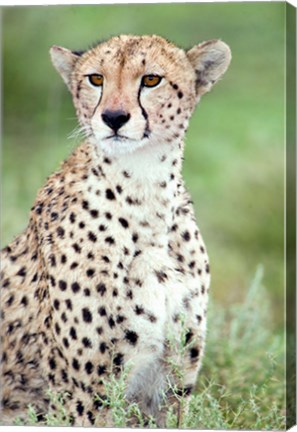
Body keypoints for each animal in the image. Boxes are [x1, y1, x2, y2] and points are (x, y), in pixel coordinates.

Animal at [0, 35, 230, 426]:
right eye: (96, 78)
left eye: (151, 80)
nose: (114, 117)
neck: (144, 191)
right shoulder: (89, 396)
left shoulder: (171, 384)